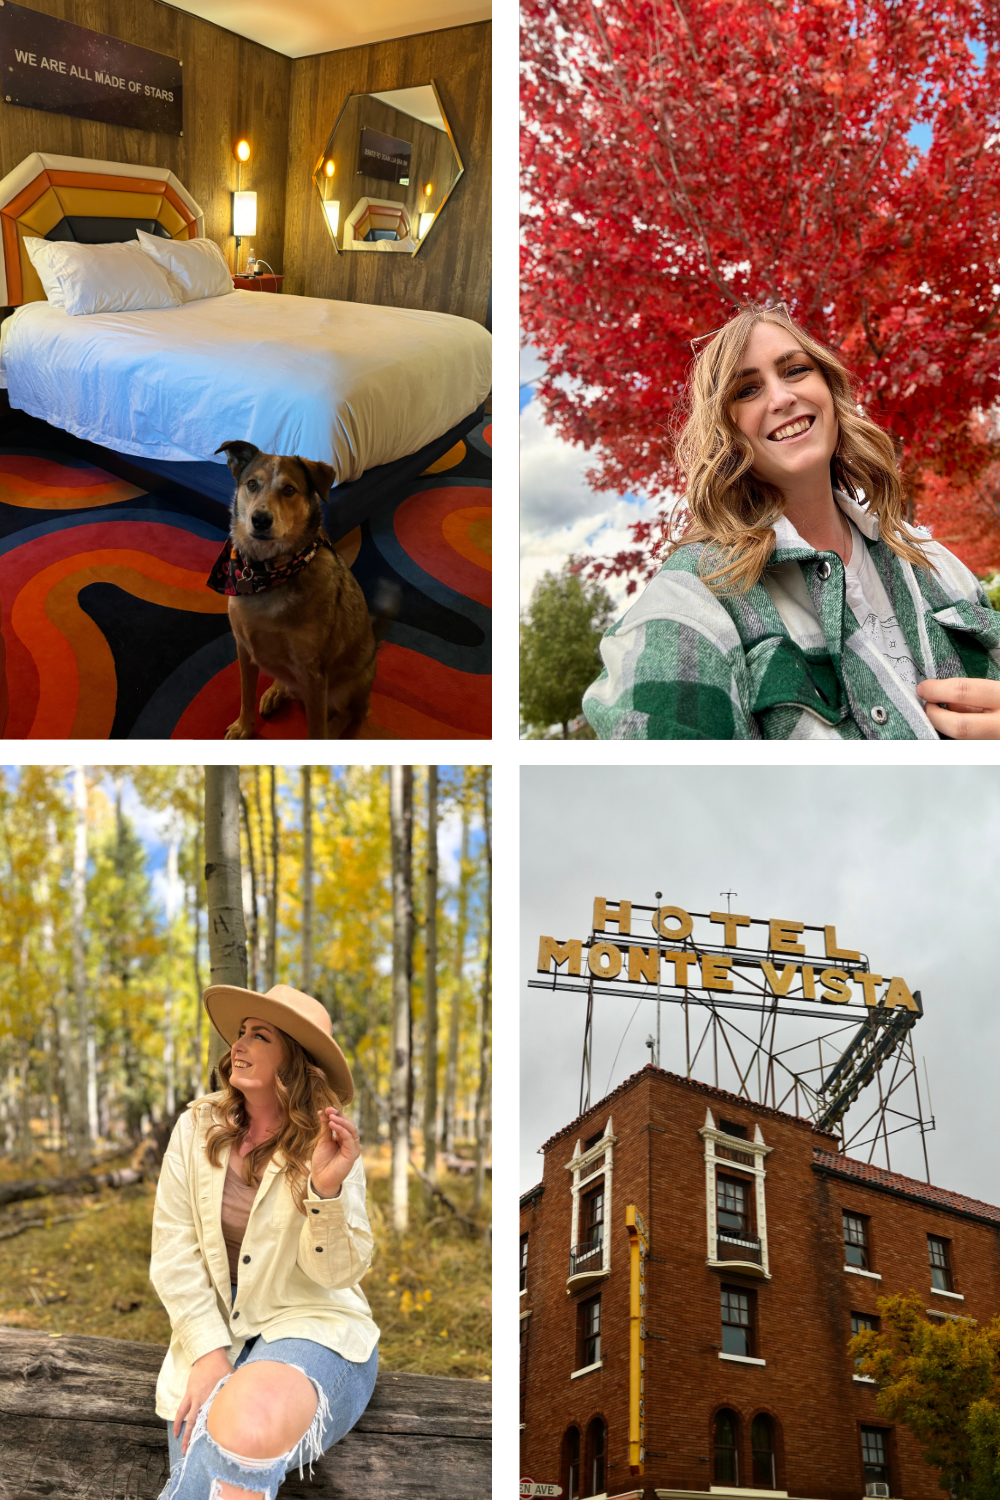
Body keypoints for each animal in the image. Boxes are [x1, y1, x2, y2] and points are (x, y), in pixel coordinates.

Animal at [212, 438, 383, 738]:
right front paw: (243, 726)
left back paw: (333, 728)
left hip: (349, 687)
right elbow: (246, 693)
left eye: (289, 489)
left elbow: (315, 730)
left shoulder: (313, 674)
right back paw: (275, 692)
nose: (260, 519)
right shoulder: (243, 648)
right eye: (252, 484)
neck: (266, 574)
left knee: (352, 713)